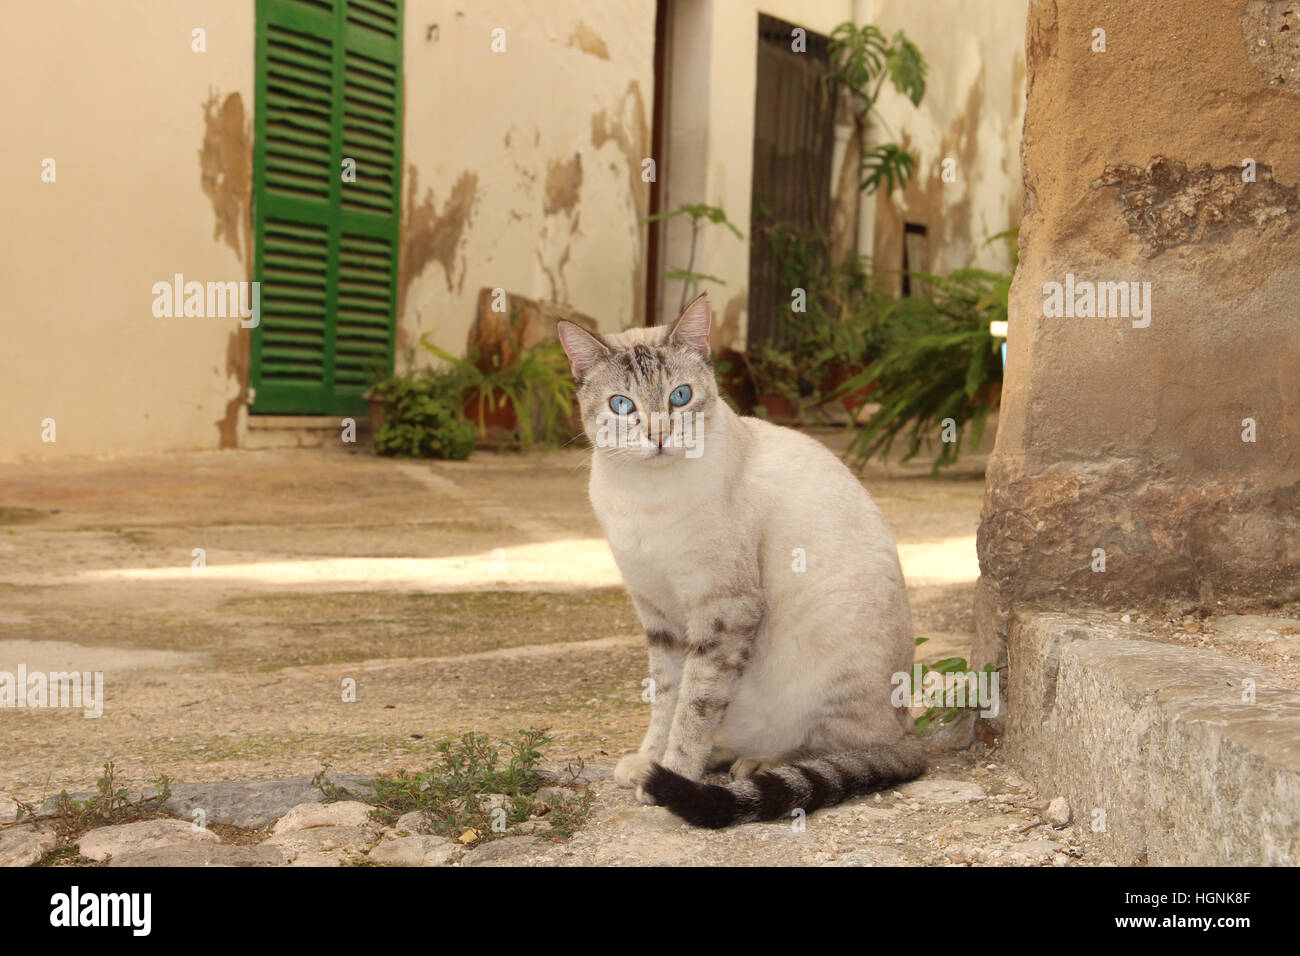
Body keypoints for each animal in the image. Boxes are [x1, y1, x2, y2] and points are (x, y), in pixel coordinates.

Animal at [559, 293, 925, 832]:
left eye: (681, 396)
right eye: (622, 406)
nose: (660, 434)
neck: (645, 501)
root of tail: (910, 728)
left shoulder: (723, 610)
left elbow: (695, 706)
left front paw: (671, 775)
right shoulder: (659, 617)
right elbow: (666, 698)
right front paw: (649, 760)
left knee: (838, 751)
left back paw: (753, 765)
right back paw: (720, 756)